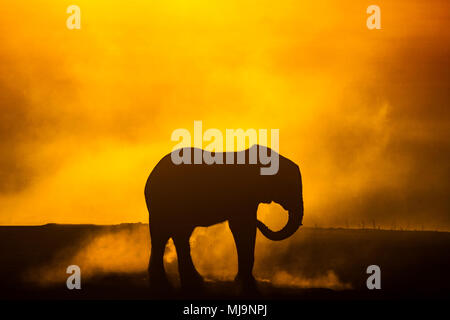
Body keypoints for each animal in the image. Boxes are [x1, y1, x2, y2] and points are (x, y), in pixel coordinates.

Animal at [146, 145, 304, 290]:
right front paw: (245, 282)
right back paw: (175, 284)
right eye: (289, 186)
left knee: (171, 236)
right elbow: (242, 227)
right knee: (169, 235)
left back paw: (182, 283)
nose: (261, 221)